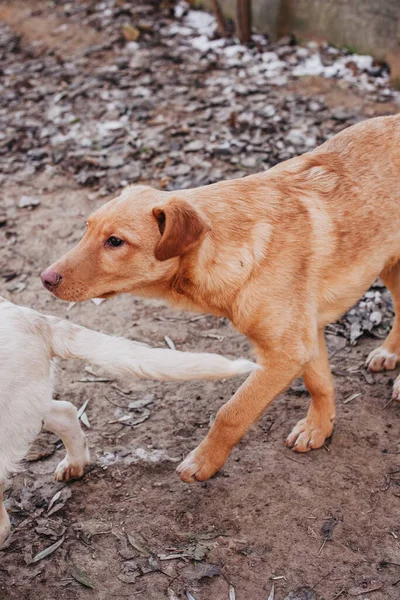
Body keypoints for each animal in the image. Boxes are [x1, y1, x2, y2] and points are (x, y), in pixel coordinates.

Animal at [41, 113, 400, 482]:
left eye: (115, 242)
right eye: (87, 228)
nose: (46, 278)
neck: (233, 248)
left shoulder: (283, 353)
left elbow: (231, 412)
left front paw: (204, 461)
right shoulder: (303, 338)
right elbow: (319, 384)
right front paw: (319, 427)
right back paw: (389, 353)